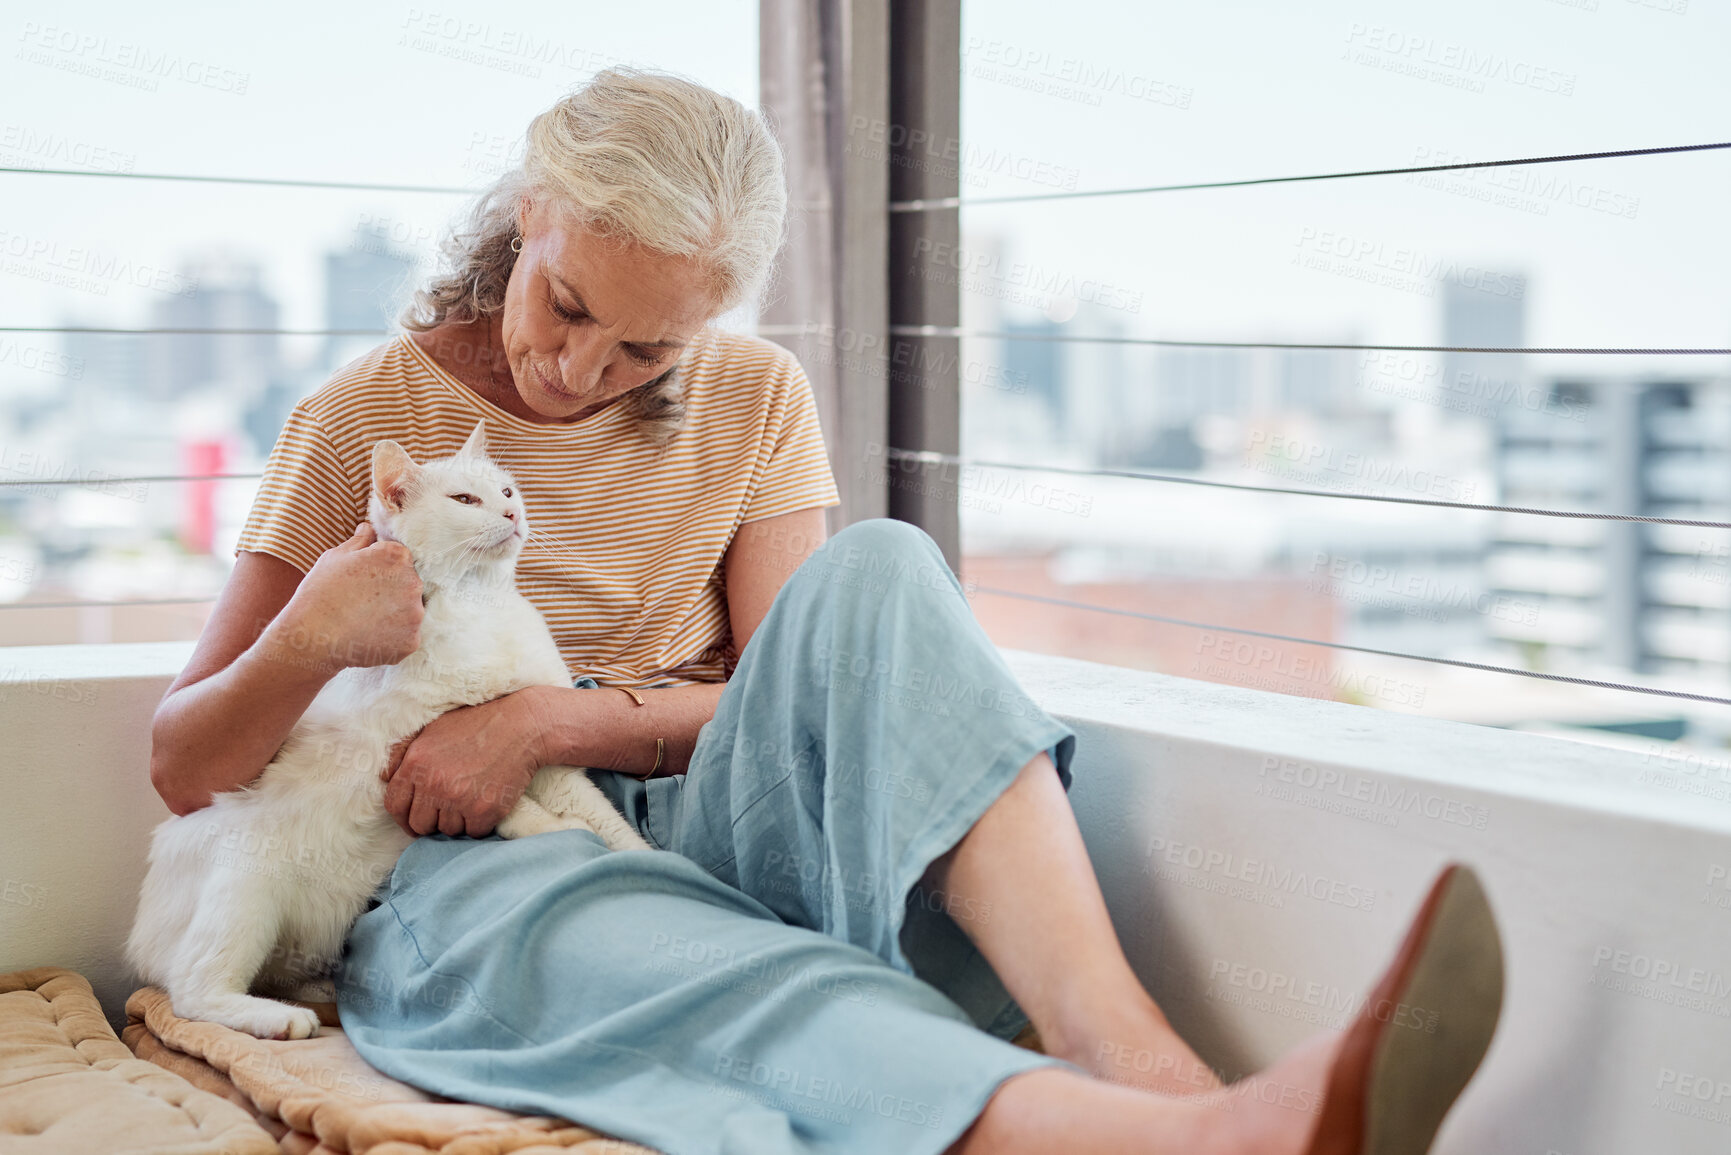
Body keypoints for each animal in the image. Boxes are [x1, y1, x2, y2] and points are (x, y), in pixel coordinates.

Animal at [123, 420, 650, 1045]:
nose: (512, 513)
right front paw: (556, 830)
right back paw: (279, 1018)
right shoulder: (412, 754)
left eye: (505, 490)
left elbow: (605, 818)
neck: (479, 605)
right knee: (193, 991)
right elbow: (515, 805)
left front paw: (650, 858)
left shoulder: (540, 756)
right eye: (465, 500)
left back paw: (317, 991)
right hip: (244, 887)